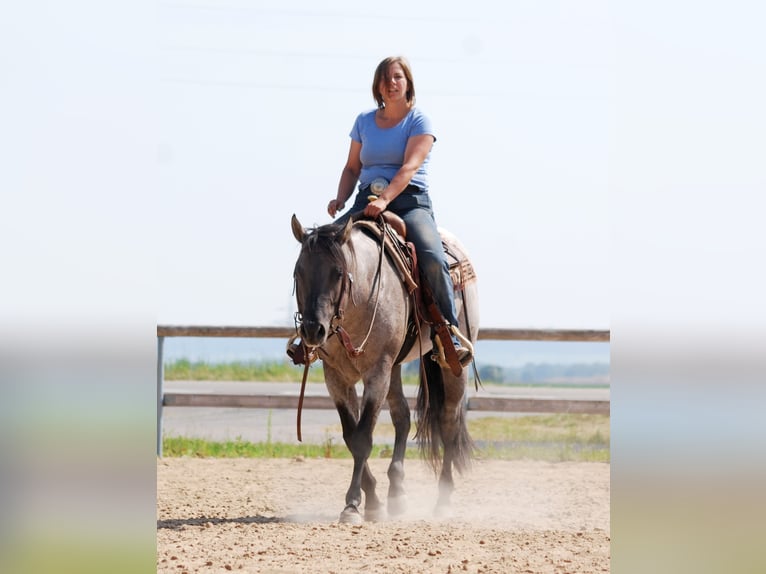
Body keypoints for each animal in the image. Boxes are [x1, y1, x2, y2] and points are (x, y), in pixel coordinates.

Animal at [292, 214, 480, 524]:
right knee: (402, 417)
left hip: (451, 367)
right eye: (299, 272)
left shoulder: (377, 372)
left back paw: (442, 501)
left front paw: (353, 505)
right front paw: (373, 502)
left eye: (338, 273)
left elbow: (362, 438)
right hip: (394, 369)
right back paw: (397, 493)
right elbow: (351, 435)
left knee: (448, 420)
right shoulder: (336, 377)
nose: (312, 330)